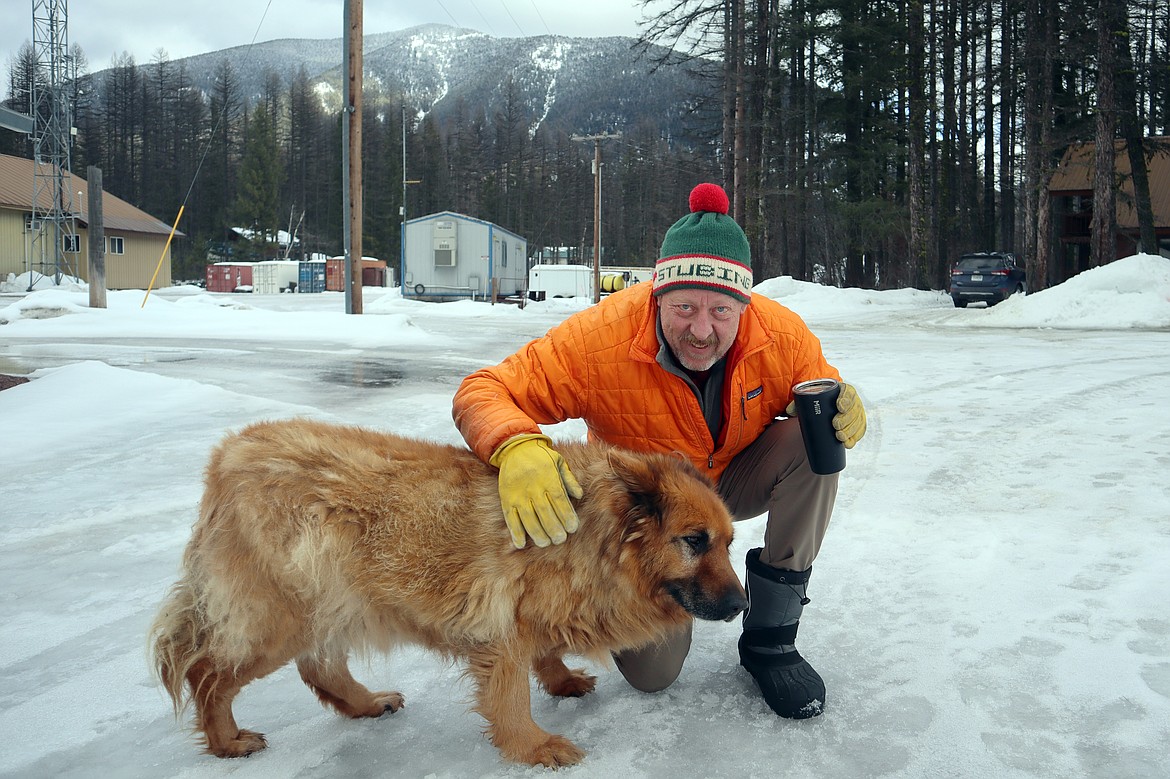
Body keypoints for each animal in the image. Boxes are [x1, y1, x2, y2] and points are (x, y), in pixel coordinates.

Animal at [150, 418, 744, 762]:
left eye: (729, 542)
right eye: (694, 541)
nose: (742, 606)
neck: (592, 536)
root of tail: (228, 455)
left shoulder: (528, 618)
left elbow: (546, 652)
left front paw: (559, 680)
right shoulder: (501, 635)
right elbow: (510, 699)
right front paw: (532, 746)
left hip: (332, 603)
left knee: (320, 669)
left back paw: (366, 703)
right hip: (281, 617)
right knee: (207, 673)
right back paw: (226, 740)